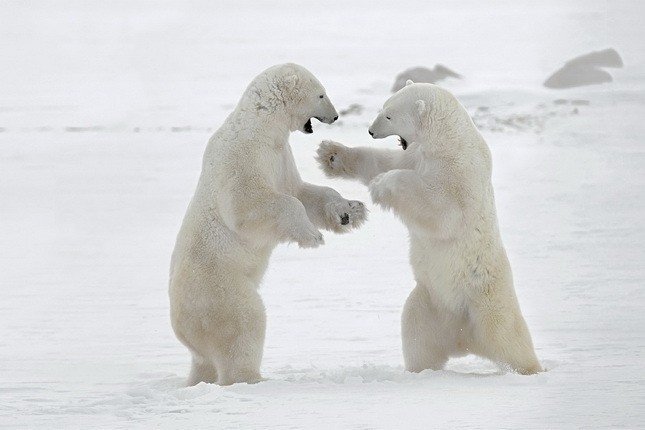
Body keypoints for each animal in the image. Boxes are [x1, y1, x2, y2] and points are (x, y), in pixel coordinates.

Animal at [169, 63, 364, 386]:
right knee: (245, 322)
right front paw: (312, 235)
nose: (335, 116)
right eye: (321, 94)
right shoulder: (244, 154)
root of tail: (180, 324)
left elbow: (301, 192)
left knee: (204, 360)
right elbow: (249, 204)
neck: (261, 124)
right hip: (219, 290)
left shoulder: (281, 154)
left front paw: (350, 211)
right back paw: (251, 379)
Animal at [314, 82, 540, 374]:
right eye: (383, 108)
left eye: (389, 115)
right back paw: (421, 370)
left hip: (488, 302)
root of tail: (464, 339)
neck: (447, 139)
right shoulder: (415, 155)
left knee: (508, 339)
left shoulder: (459, 174)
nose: (371, 130)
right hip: (429, 302)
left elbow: (440, 210)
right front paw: (330, 154)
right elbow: (383, 161)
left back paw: (531, 368)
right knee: (416, 335)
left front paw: (383, 184)